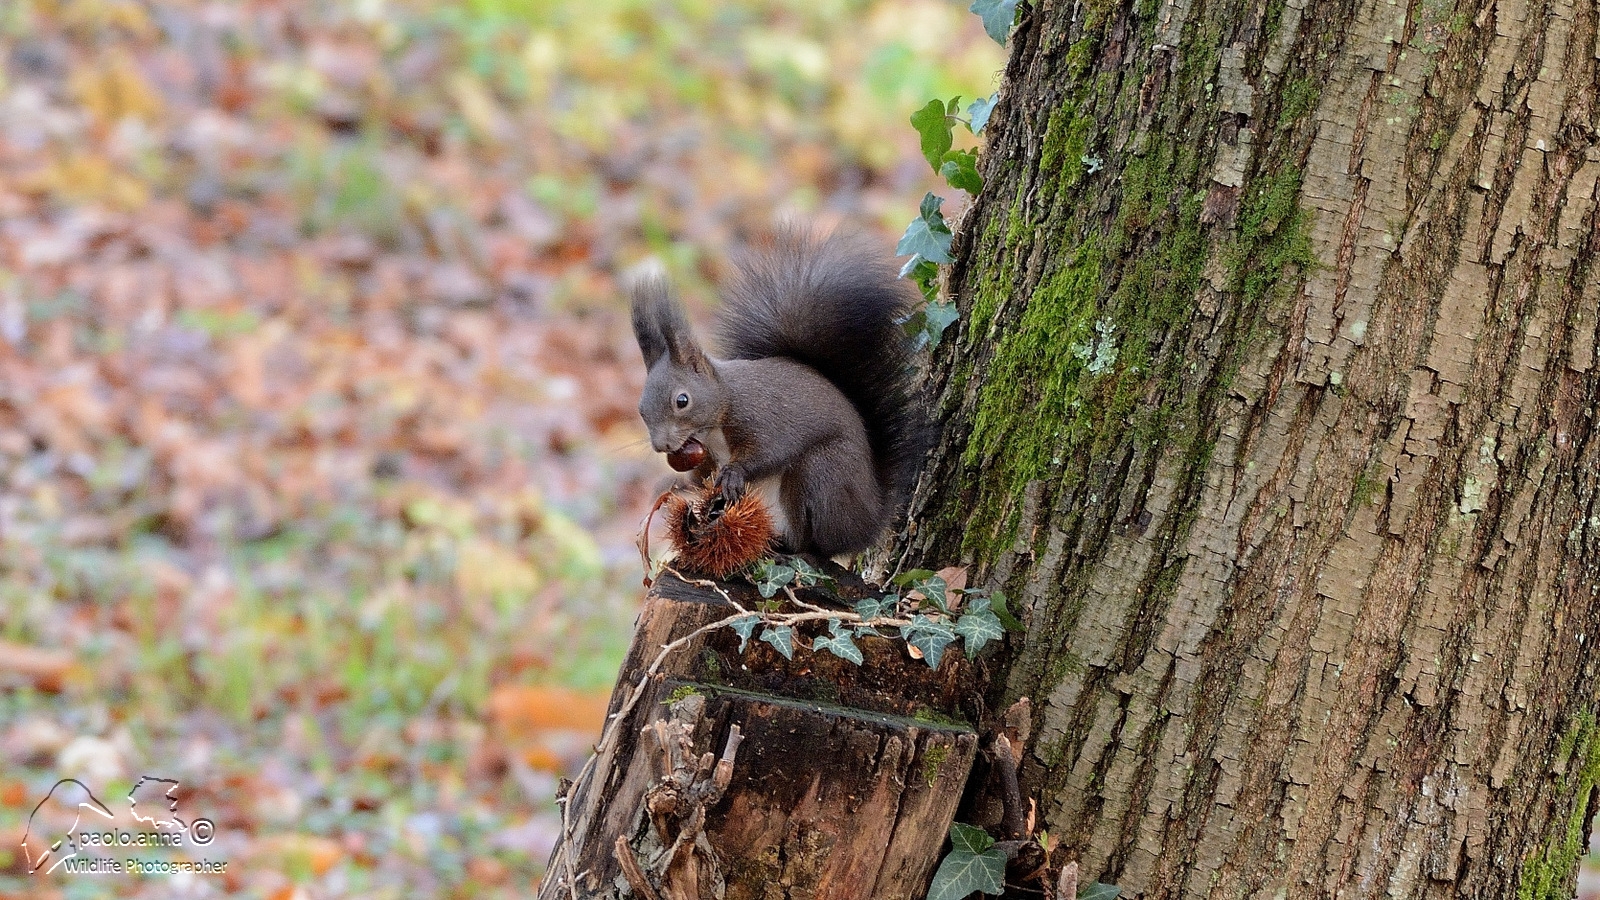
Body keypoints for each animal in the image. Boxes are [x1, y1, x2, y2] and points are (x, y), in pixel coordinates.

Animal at [624, 227, 928, 557]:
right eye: (641, 410)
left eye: (682, 400)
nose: (662, 445)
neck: (723, 407)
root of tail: (869, 521)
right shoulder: (707, 456)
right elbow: (702, 477)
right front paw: (676, 484)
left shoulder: (763, 417)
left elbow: (770, 450)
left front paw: (734, 472)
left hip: (820, 472)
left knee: (816, 545)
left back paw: (791, 547)